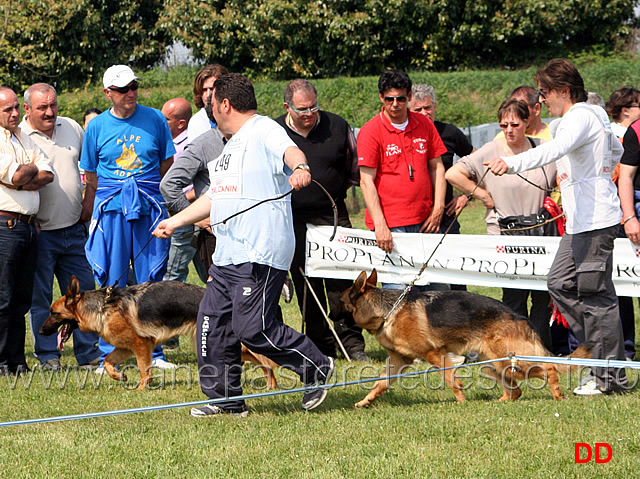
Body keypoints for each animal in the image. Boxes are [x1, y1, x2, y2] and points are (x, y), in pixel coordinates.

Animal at [40, 278, 278, 390]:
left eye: (53, 313)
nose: (41, 331)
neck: (103, 307)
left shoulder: (140, 345)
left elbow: (144, 369)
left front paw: (142, 389)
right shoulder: (125, 347)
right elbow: (107, 362)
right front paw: (119, 376)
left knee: (265, 359)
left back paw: (273, 386)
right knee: (264, 361)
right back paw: (270, 386)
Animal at [338, 268, 592, 406]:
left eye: (340, 301)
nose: (335, 318)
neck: (388, 312)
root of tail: (520, 318)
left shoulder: (435, 353)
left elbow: (449, 377)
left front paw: (460, 402)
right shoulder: (398, 362)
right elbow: (380, 383)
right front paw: (366, 401)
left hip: (509, 362)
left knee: (548, 368)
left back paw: (557, 393)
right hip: (492, 365)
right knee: (516, 390)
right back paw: (500, 403)